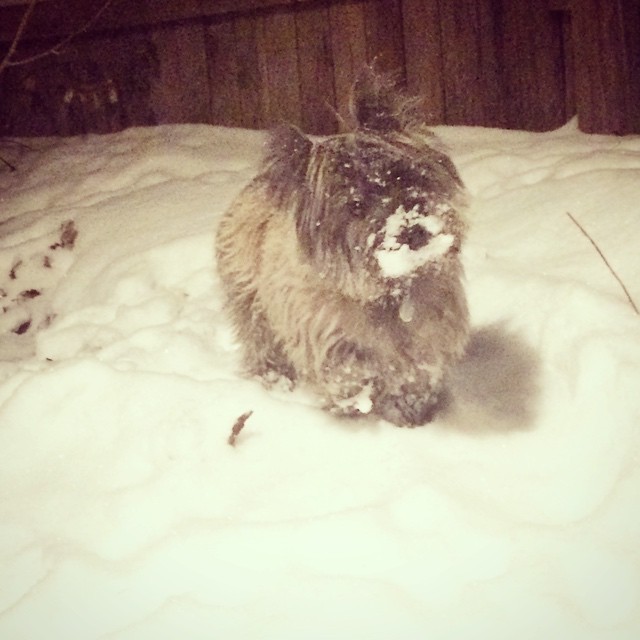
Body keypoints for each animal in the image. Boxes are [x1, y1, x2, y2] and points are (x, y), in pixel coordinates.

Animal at [216, 67, 470, 428]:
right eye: (356, 206)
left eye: (403, 176)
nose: (412, 231)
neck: (390, 294)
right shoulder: (323, 333)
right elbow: (347, 369)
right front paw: (359, 403)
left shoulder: (431, 333)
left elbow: (417, 372)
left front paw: (410, 412)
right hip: (251, 303)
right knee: (262, 344)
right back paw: (276, 379)